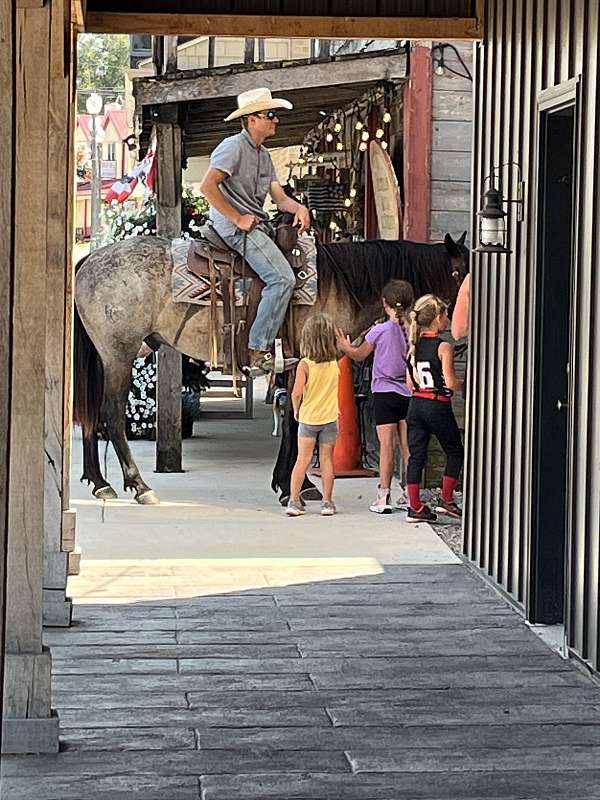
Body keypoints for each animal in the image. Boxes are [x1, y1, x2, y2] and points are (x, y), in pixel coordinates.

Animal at [74, 233, 468, 506]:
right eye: (457, 271)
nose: (461, 326)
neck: (337, 284)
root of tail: (91, 257)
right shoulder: (304, 361)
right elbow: (296, 420)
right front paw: (294, 485)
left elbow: (295, 419)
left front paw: (293, 483)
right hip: (119, 354)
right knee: (111, 414)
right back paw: (140, 486)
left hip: (106, 356)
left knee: (91, 412)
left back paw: (100, 483)